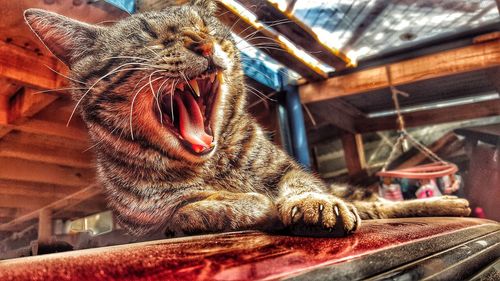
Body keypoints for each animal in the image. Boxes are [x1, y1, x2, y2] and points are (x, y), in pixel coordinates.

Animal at [23, 0, 468, 236]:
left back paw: (448, 202)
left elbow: (302, 186)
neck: (211, 167)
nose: (203, 44)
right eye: (150, 37)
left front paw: (311, 204)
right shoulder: (142, 225)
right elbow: (188, 208)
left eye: (205, 26)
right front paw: (243, 202)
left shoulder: (289, 170)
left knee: (373, 204)